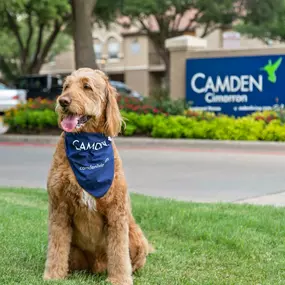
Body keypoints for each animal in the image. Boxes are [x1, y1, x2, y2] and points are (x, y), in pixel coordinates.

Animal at [43, 67, 152, 282]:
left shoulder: (116, 212)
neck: (87, 145)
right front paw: (53, 275)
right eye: (66, 86)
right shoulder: (59, 208)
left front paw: (120, 279)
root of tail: (96, 267)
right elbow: (56, 247)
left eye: (87, 86)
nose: (63, 101)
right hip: (75, 251)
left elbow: (119, 252)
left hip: (136, 237)